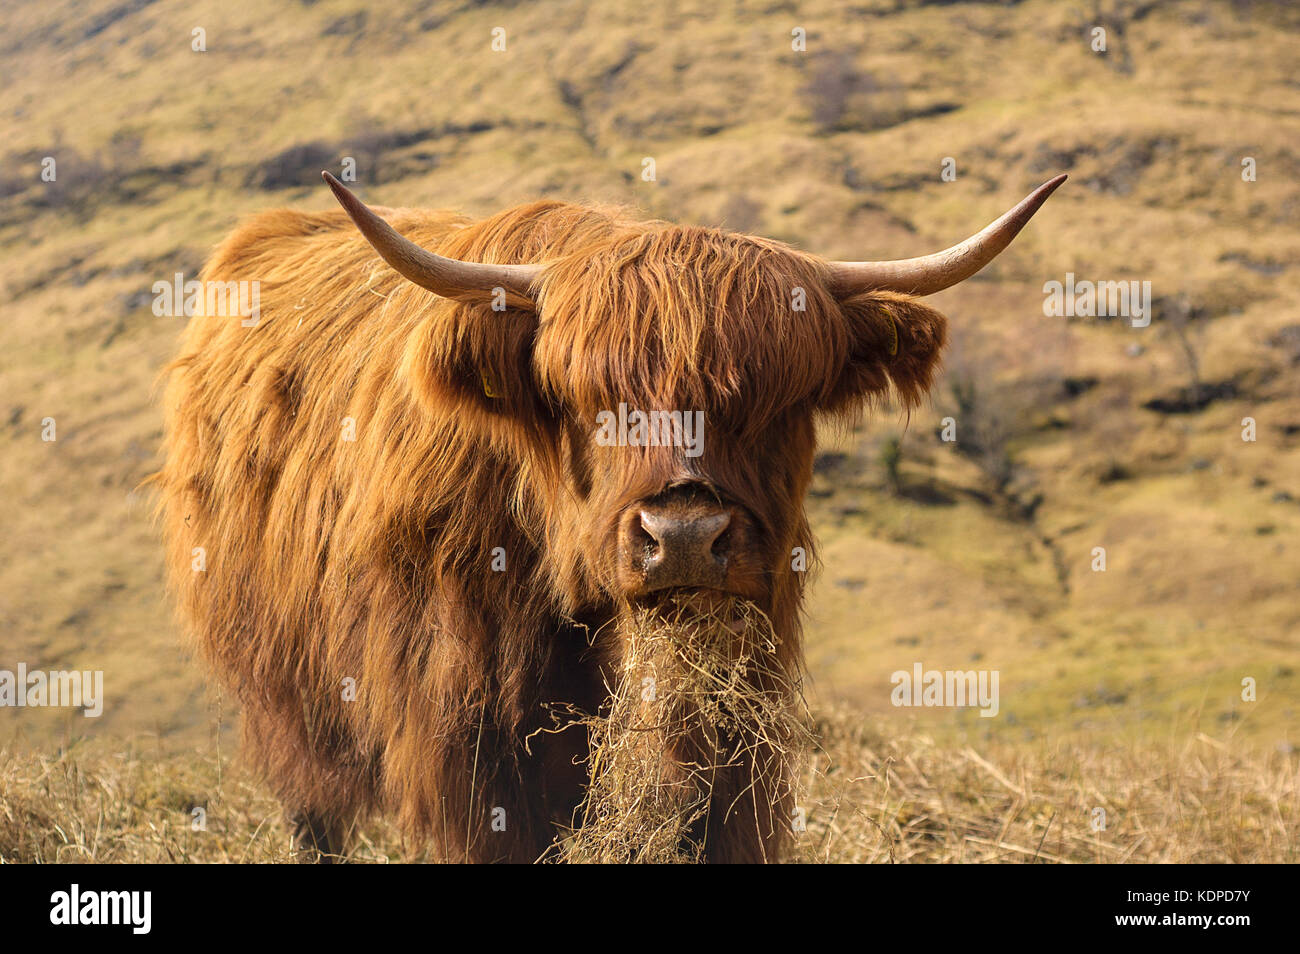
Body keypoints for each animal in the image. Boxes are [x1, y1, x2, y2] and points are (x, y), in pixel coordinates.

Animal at [156, 170, 1064, 863]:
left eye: (778, 402)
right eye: (596, 400)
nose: (687, 538)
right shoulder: (466, 726)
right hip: (280, 686)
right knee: (315, 810)